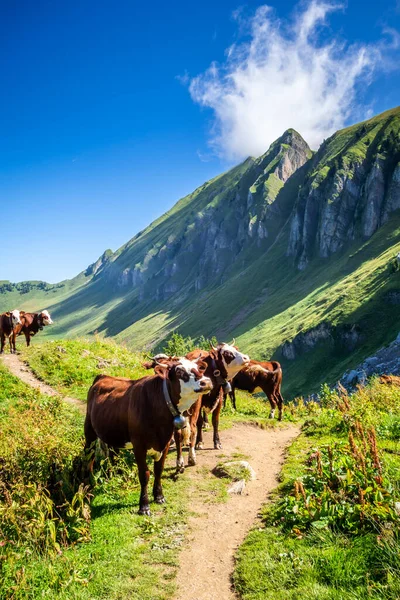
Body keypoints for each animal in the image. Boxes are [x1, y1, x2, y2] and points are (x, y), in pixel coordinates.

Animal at [84, 356, 212, 516]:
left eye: (198, 367)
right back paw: (88, 482)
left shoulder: (165, 442)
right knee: (88, 455)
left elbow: (158, 470)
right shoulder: (139, 446)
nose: (206, 382)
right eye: (179, 371)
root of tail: (103, 376)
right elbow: (144, 474)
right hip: (89, 429)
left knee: (113, 452)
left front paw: (159, 496)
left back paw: (115, 474)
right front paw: (144, 506)